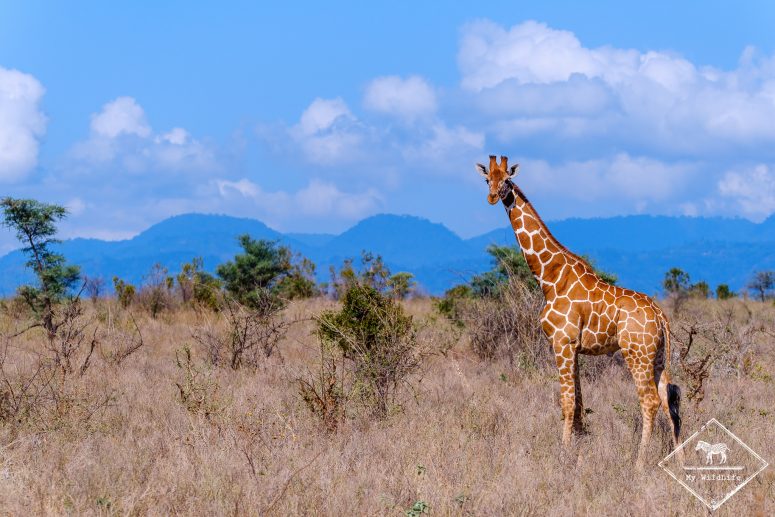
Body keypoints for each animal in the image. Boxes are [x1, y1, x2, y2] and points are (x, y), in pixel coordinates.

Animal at [475, 155, 682, 466]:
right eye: (488, 179)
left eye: (507, 180)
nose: (491, 196)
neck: (549, 277)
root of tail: (660, 315)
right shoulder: (573, 348)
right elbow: (579, 403)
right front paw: (580, 450)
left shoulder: (562, 342)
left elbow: (566, 402)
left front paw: (563, 453)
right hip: (657, 356)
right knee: (669, 397)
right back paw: (679, 460)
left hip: (636, 353)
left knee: (650, 400)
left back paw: (639, 463)